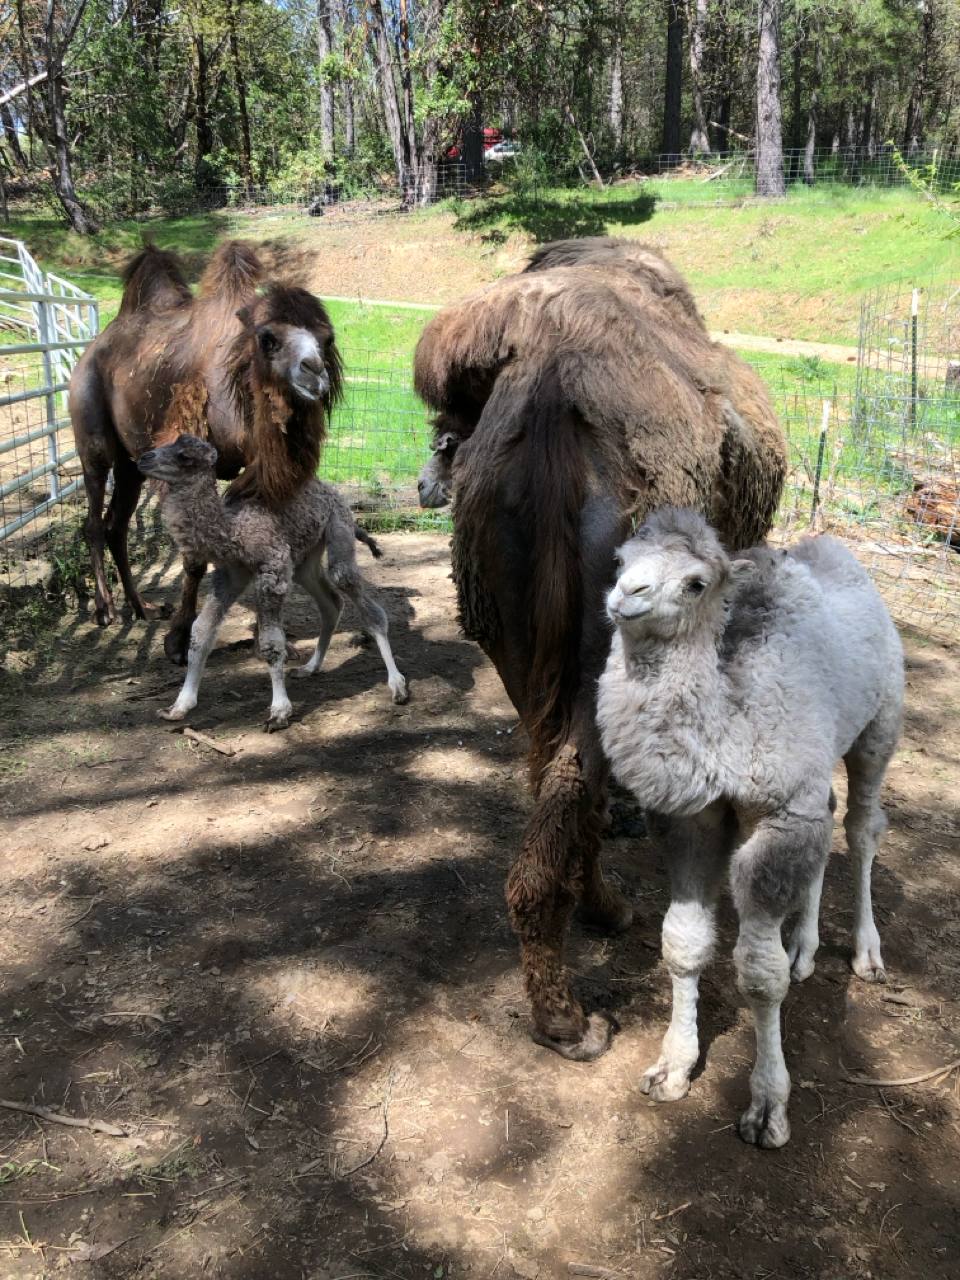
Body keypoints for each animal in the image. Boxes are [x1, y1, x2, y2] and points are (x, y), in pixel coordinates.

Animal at [69, 242, 342, 663]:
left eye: (326, 339)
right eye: (268, 338)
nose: (314, 372)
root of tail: (95, 346)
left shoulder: (255, 468)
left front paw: (268, 636)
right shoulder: (185, 453)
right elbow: (195, 556)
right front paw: (179, 640)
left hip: (132, 465)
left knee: (117, 523)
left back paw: (142, 606)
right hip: (92, 434)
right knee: (95, 519)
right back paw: (105, 610)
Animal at [414, 237, 787, 1063]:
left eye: (446, 436)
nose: (427, 480)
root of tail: (551, 402)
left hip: (517, 645)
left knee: (552, 770)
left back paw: (597, 917)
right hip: (608, 645)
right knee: (575, 777)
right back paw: (568, 1015)